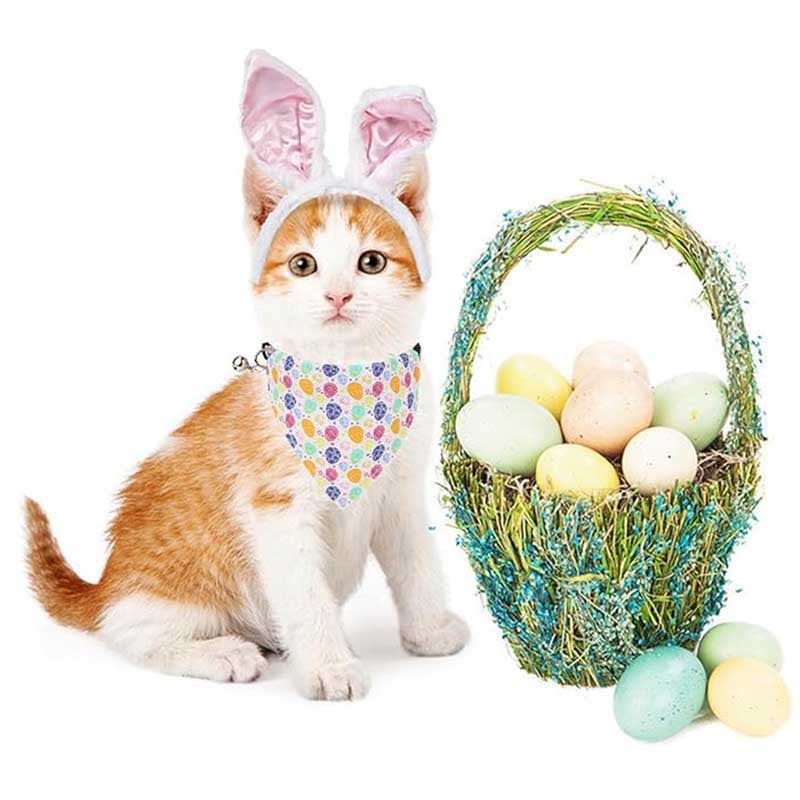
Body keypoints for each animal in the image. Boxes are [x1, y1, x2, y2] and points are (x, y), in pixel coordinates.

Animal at [25, 52, 468, 701]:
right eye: (303, 265)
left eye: (371, 262)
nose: (338, 295)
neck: (348, 383)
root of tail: (105, 583)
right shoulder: (277, 508)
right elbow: (306, 596)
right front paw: (330, 667)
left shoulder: (402, 494)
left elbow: (418, 566)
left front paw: (430, 629)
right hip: (177, 593)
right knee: (129, 633)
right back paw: (219, 653)